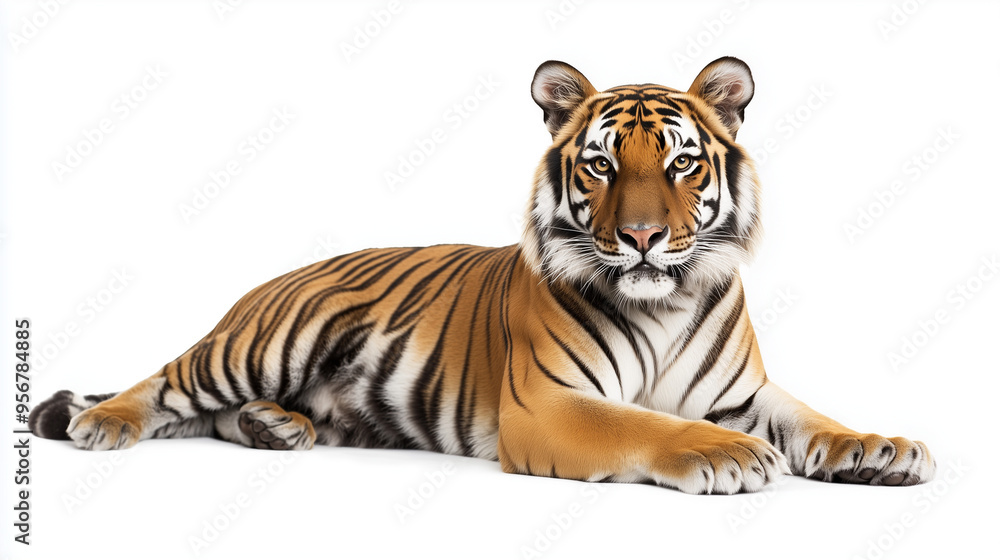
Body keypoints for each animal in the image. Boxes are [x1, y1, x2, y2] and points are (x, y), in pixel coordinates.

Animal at [30, 57, 935, 494]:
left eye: (681, 163)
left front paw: (880, 447)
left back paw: (276, 428)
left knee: (210, 417)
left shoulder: (745, 392)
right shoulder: (547, 403)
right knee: (167, 382)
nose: (643, 238)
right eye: (602, 164)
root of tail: (277, 277)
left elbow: (812, 419)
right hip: (263, 344)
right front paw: (731, 457)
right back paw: (103, 421)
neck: (666, 302)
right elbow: (647, 425)